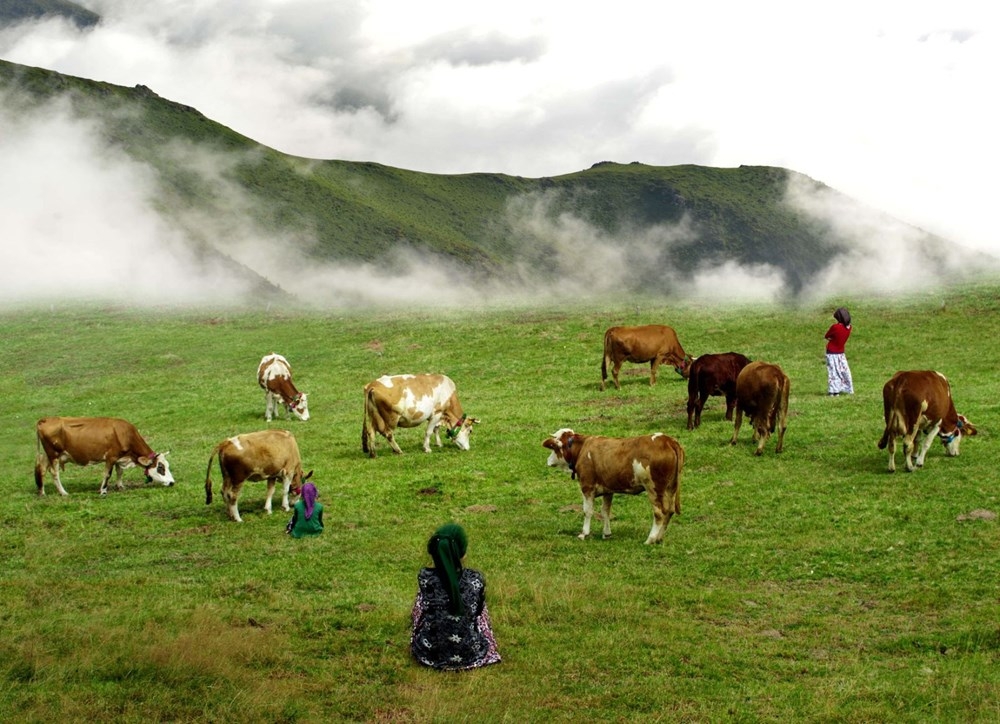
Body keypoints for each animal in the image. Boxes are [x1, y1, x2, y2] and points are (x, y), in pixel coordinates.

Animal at [544, 424, 684, 544]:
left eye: (553, 448)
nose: (548, 461)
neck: (582, 448)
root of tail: (667, 440)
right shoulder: (608, 490)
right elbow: (605, 511)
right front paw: (606, 533)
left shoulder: (587, 487)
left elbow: (587, 511)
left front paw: (584, 533)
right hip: (670, 488)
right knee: (669, 511)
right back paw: (659, 538)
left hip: (654, 489)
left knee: (659, 513)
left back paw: (650, 539)